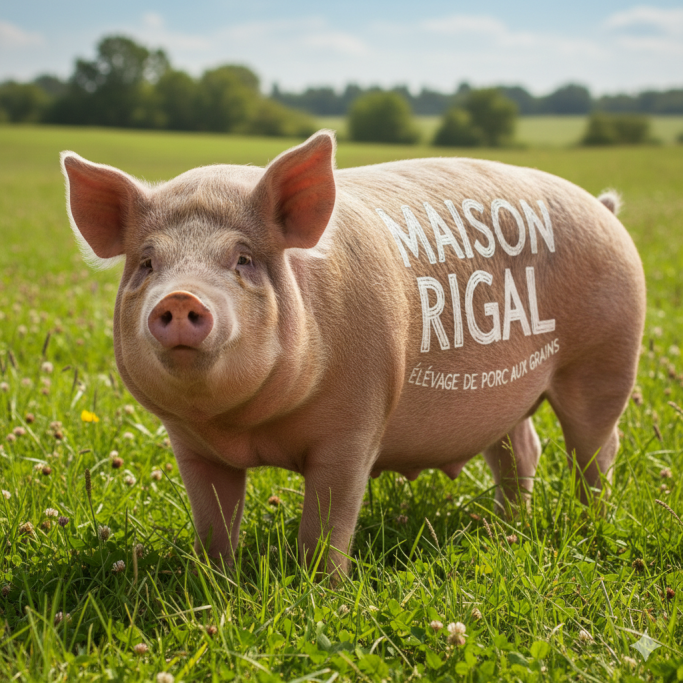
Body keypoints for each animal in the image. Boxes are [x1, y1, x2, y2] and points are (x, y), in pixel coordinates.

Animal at [61, 131, 645, 576]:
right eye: (147, 264)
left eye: (243, 259)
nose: (181, 297)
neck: (247, 428)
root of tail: (605, 209)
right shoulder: (191, 447)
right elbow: (214, 525)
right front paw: (215, 585)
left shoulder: (356, 423)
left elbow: (329, 522)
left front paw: (319, 590)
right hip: (508, 400)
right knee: (522, 449)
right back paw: (506, 527)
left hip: (606, 359)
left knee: (596, 448)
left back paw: (590, 524)